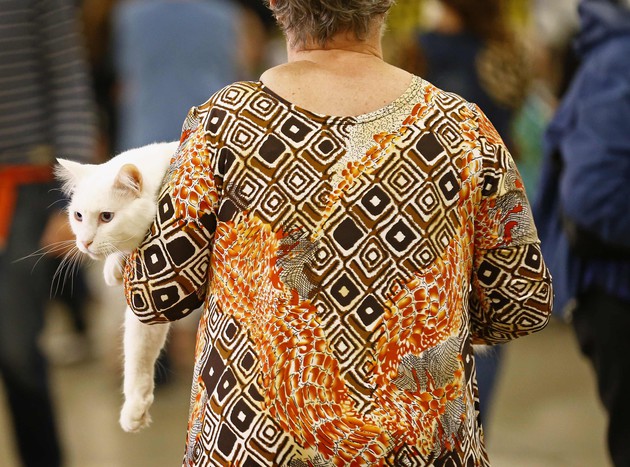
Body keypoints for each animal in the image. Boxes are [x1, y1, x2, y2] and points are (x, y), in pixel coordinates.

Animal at [56, 141, 179, 432]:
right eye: (78, 216)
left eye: (106, 217)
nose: (85, 242)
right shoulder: (152, 299)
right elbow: (139, 352)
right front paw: (136, 408)